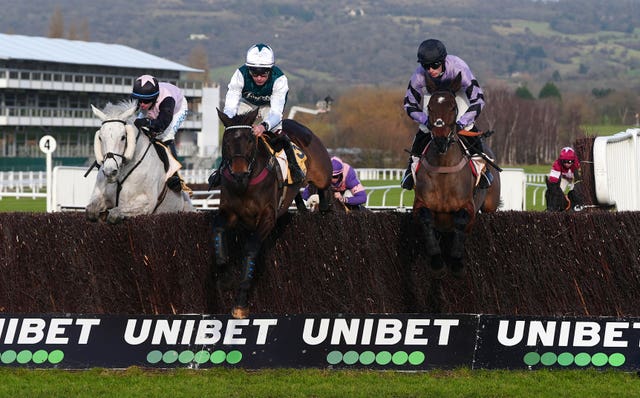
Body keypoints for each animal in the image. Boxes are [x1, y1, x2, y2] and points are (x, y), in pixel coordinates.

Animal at [215, 107, 336, 318]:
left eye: (249, 140)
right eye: (227, 141)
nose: (239, 173)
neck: (246, 183)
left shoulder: (268, 216)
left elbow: (251, 248)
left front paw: (240, 304)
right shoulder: (229, 211)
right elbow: (218, 231)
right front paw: (225, 276)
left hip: (322, 174)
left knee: (325, 192)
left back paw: (323, 205)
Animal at [412, 71, 502, 276]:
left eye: (453, 107)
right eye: (429, 107)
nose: (440, 139)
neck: (444, 168)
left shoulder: (468, 205)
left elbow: (461, 221)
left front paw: (457, 262)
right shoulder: (419, 203)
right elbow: (426, 219)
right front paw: (437, 261)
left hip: (490, 205)